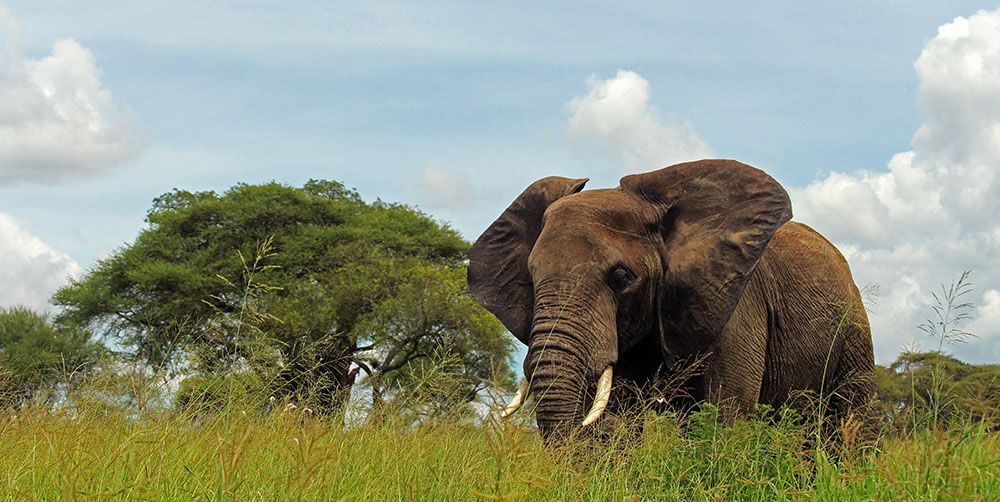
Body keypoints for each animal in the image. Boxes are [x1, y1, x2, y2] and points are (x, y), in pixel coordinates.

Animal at [468, 158, 876, 440]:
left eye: (621, 278)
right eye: (532, 279)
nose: (598, 428)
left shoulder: (734, 304)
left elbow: (724, 413)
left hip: (855, 327)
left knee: (852, 421)